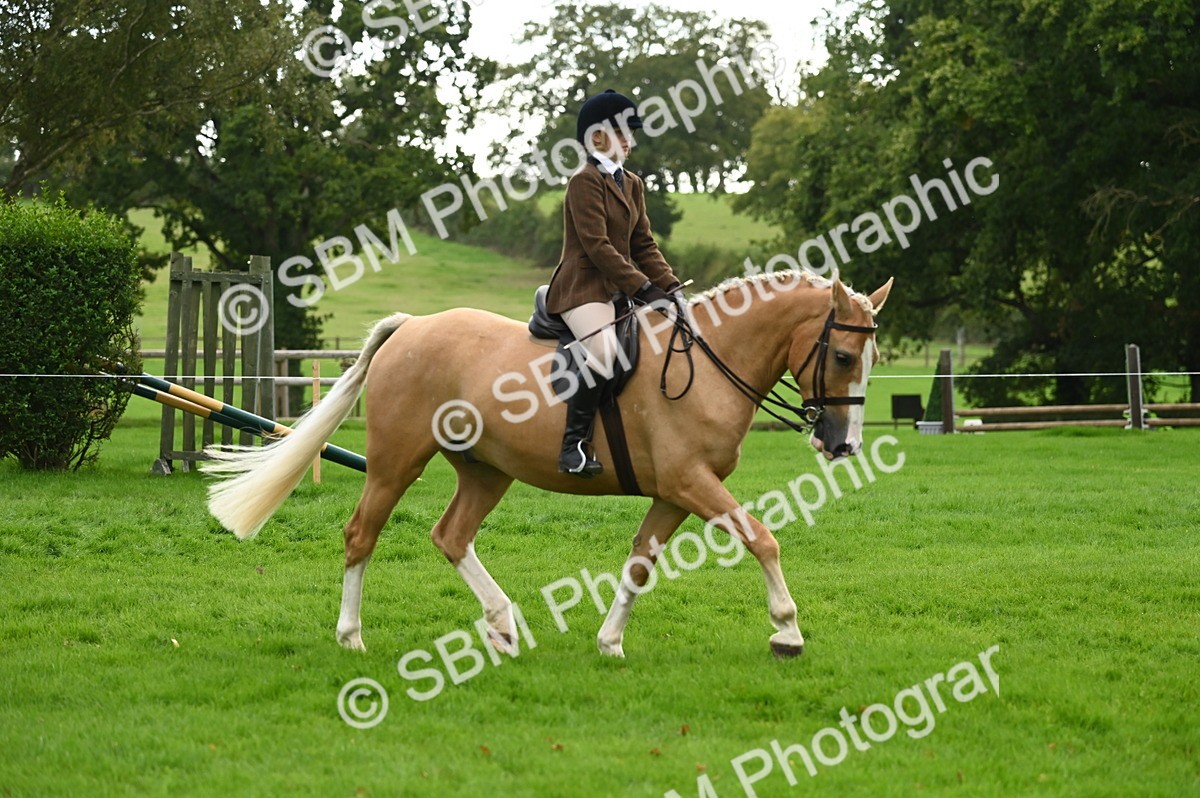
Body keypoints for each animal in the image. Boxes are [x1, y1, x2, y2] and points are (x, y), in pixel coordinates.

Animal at [202, 270, 892, 659]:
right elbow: (762, 539)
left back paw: (503, 625)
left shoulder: (675, 493)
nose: (843, 446)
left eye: (873, 358)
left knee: (450, 535)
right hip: (397, 463)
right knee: (361, 535)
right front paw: (787, 632)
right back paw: (351, 636)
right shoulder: (691, 484)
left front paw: (610, 643)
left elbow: (639, 565)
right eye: (841, 357)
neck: (711, 361)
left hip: (487, 471)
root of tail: (413, 326)